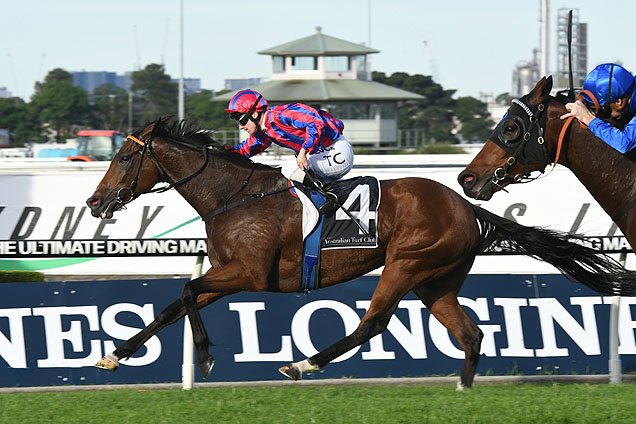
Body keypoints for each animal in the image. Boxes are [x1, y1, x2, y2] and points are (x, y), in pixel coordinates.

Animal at [85, 117, 636, 390]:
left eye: (126, 156)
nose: (94, 202)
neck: (234, 196)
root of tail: (466, 205)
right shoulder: (228, 273)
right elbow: (175, 304)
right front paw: (113, 355)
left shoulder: (248, 273)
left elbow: (185, 289)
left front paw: (203, 358)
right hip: (436, 280)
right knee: (470, 333)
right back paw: (462, 392)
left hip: (407, 263)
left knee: (372, 322)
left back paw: (302, 365)